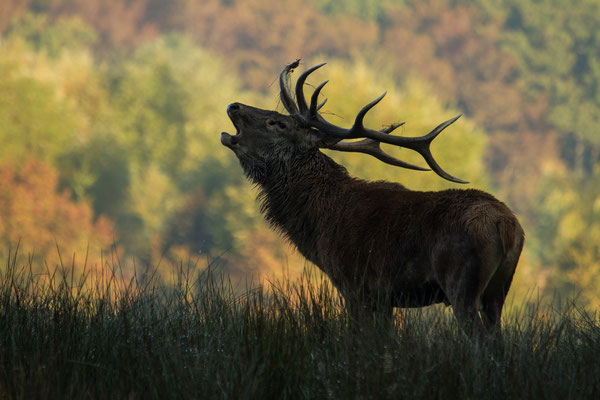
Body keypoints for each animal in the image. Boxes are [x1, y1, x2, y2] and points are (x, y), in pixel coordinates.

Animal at [221, 59, 524, 334]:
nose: (234, 106)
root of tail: (507, 226)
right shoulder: (384, 297)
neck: (318, 227)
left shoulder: (354, 282)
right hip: (498, 291)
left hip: (460, 281)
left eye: (278, 123)